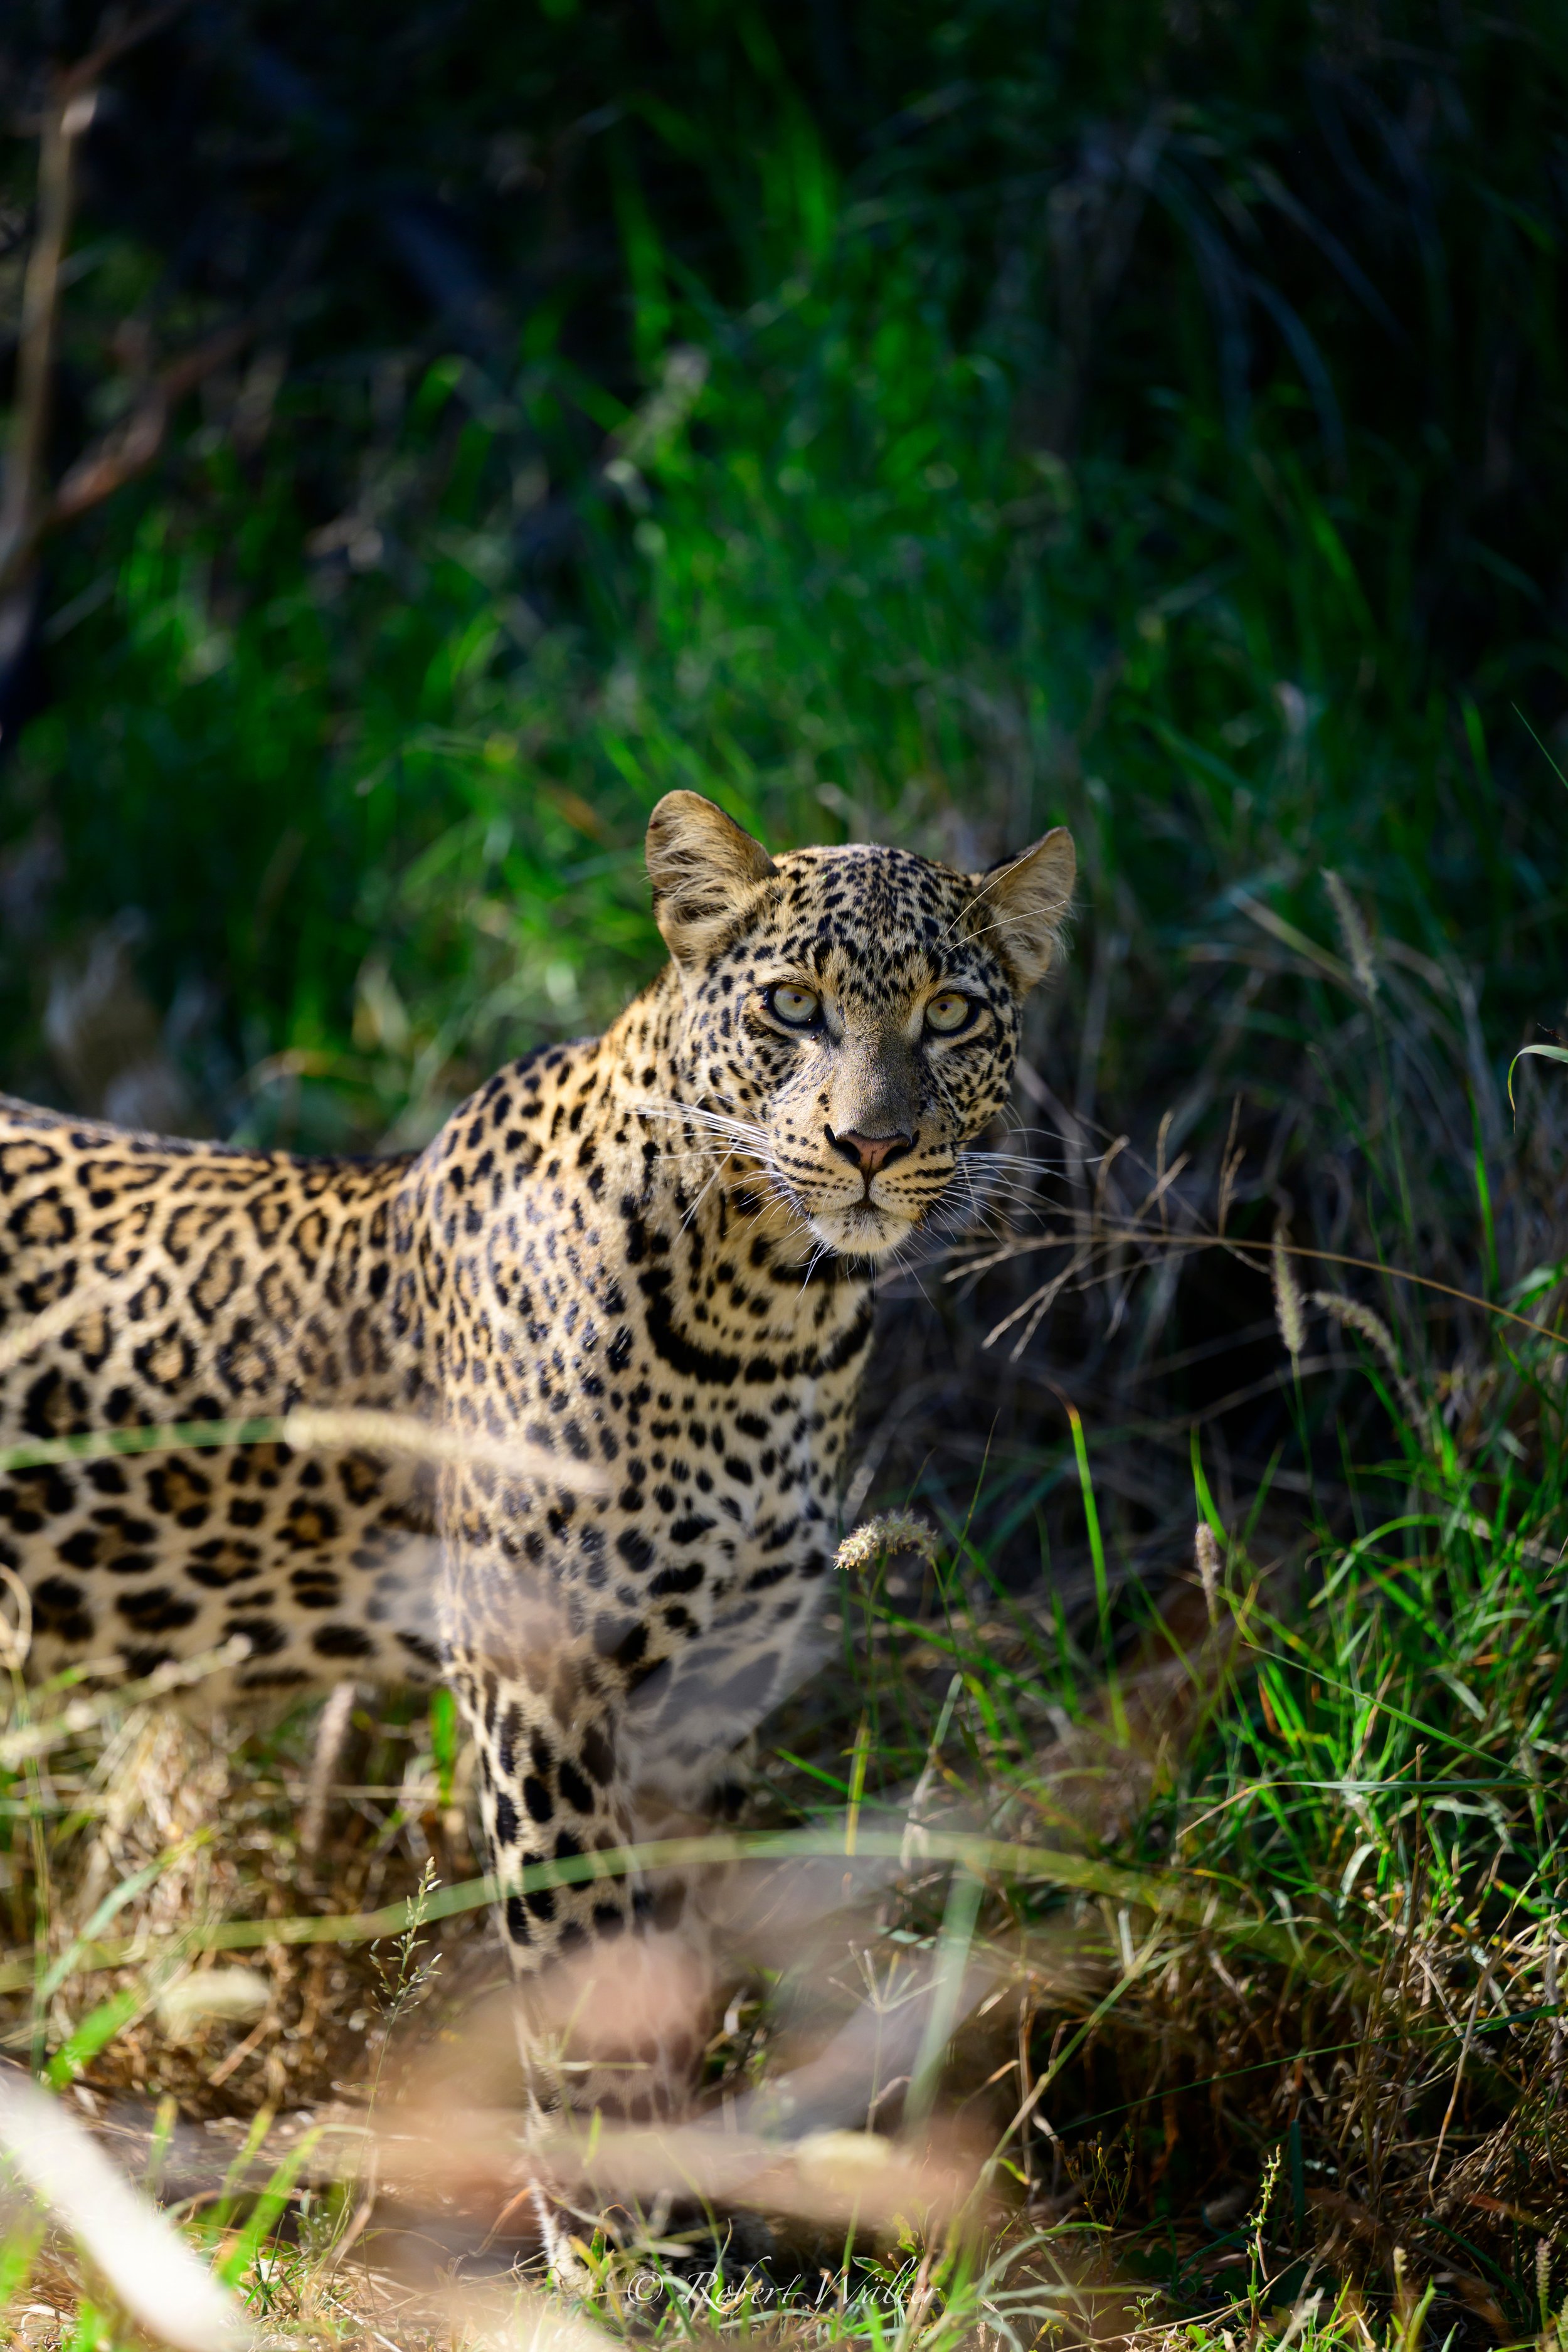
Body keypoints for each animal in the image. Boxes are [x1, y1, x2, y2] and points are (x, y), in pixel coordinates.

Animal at [0, 789, 1074, 2141]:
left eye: (949, 1014)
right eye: (791, 1006)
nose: (871, 1144)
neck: (768, 1322)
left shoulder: (710, 1695)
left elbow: (674, 1946)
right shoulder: (538, 1681)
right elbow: (585, 1947)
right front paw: (616, 2176)